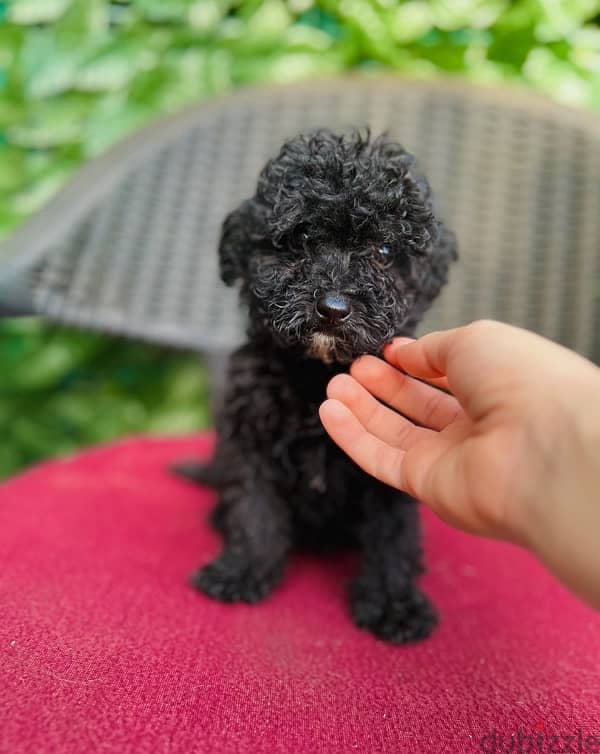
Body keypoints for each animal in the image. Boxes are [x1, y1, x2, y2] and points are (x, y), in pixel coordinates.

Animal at [177, 129, 454, 640]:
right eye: (301, 239)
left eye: (385, 254)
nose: (333, 307)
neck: (318, 377)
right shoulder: (252, 440)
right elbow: (254, 510)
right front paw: (242, 571)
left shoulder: (386, 462)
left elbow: (392, 533)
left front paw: (394, 604)